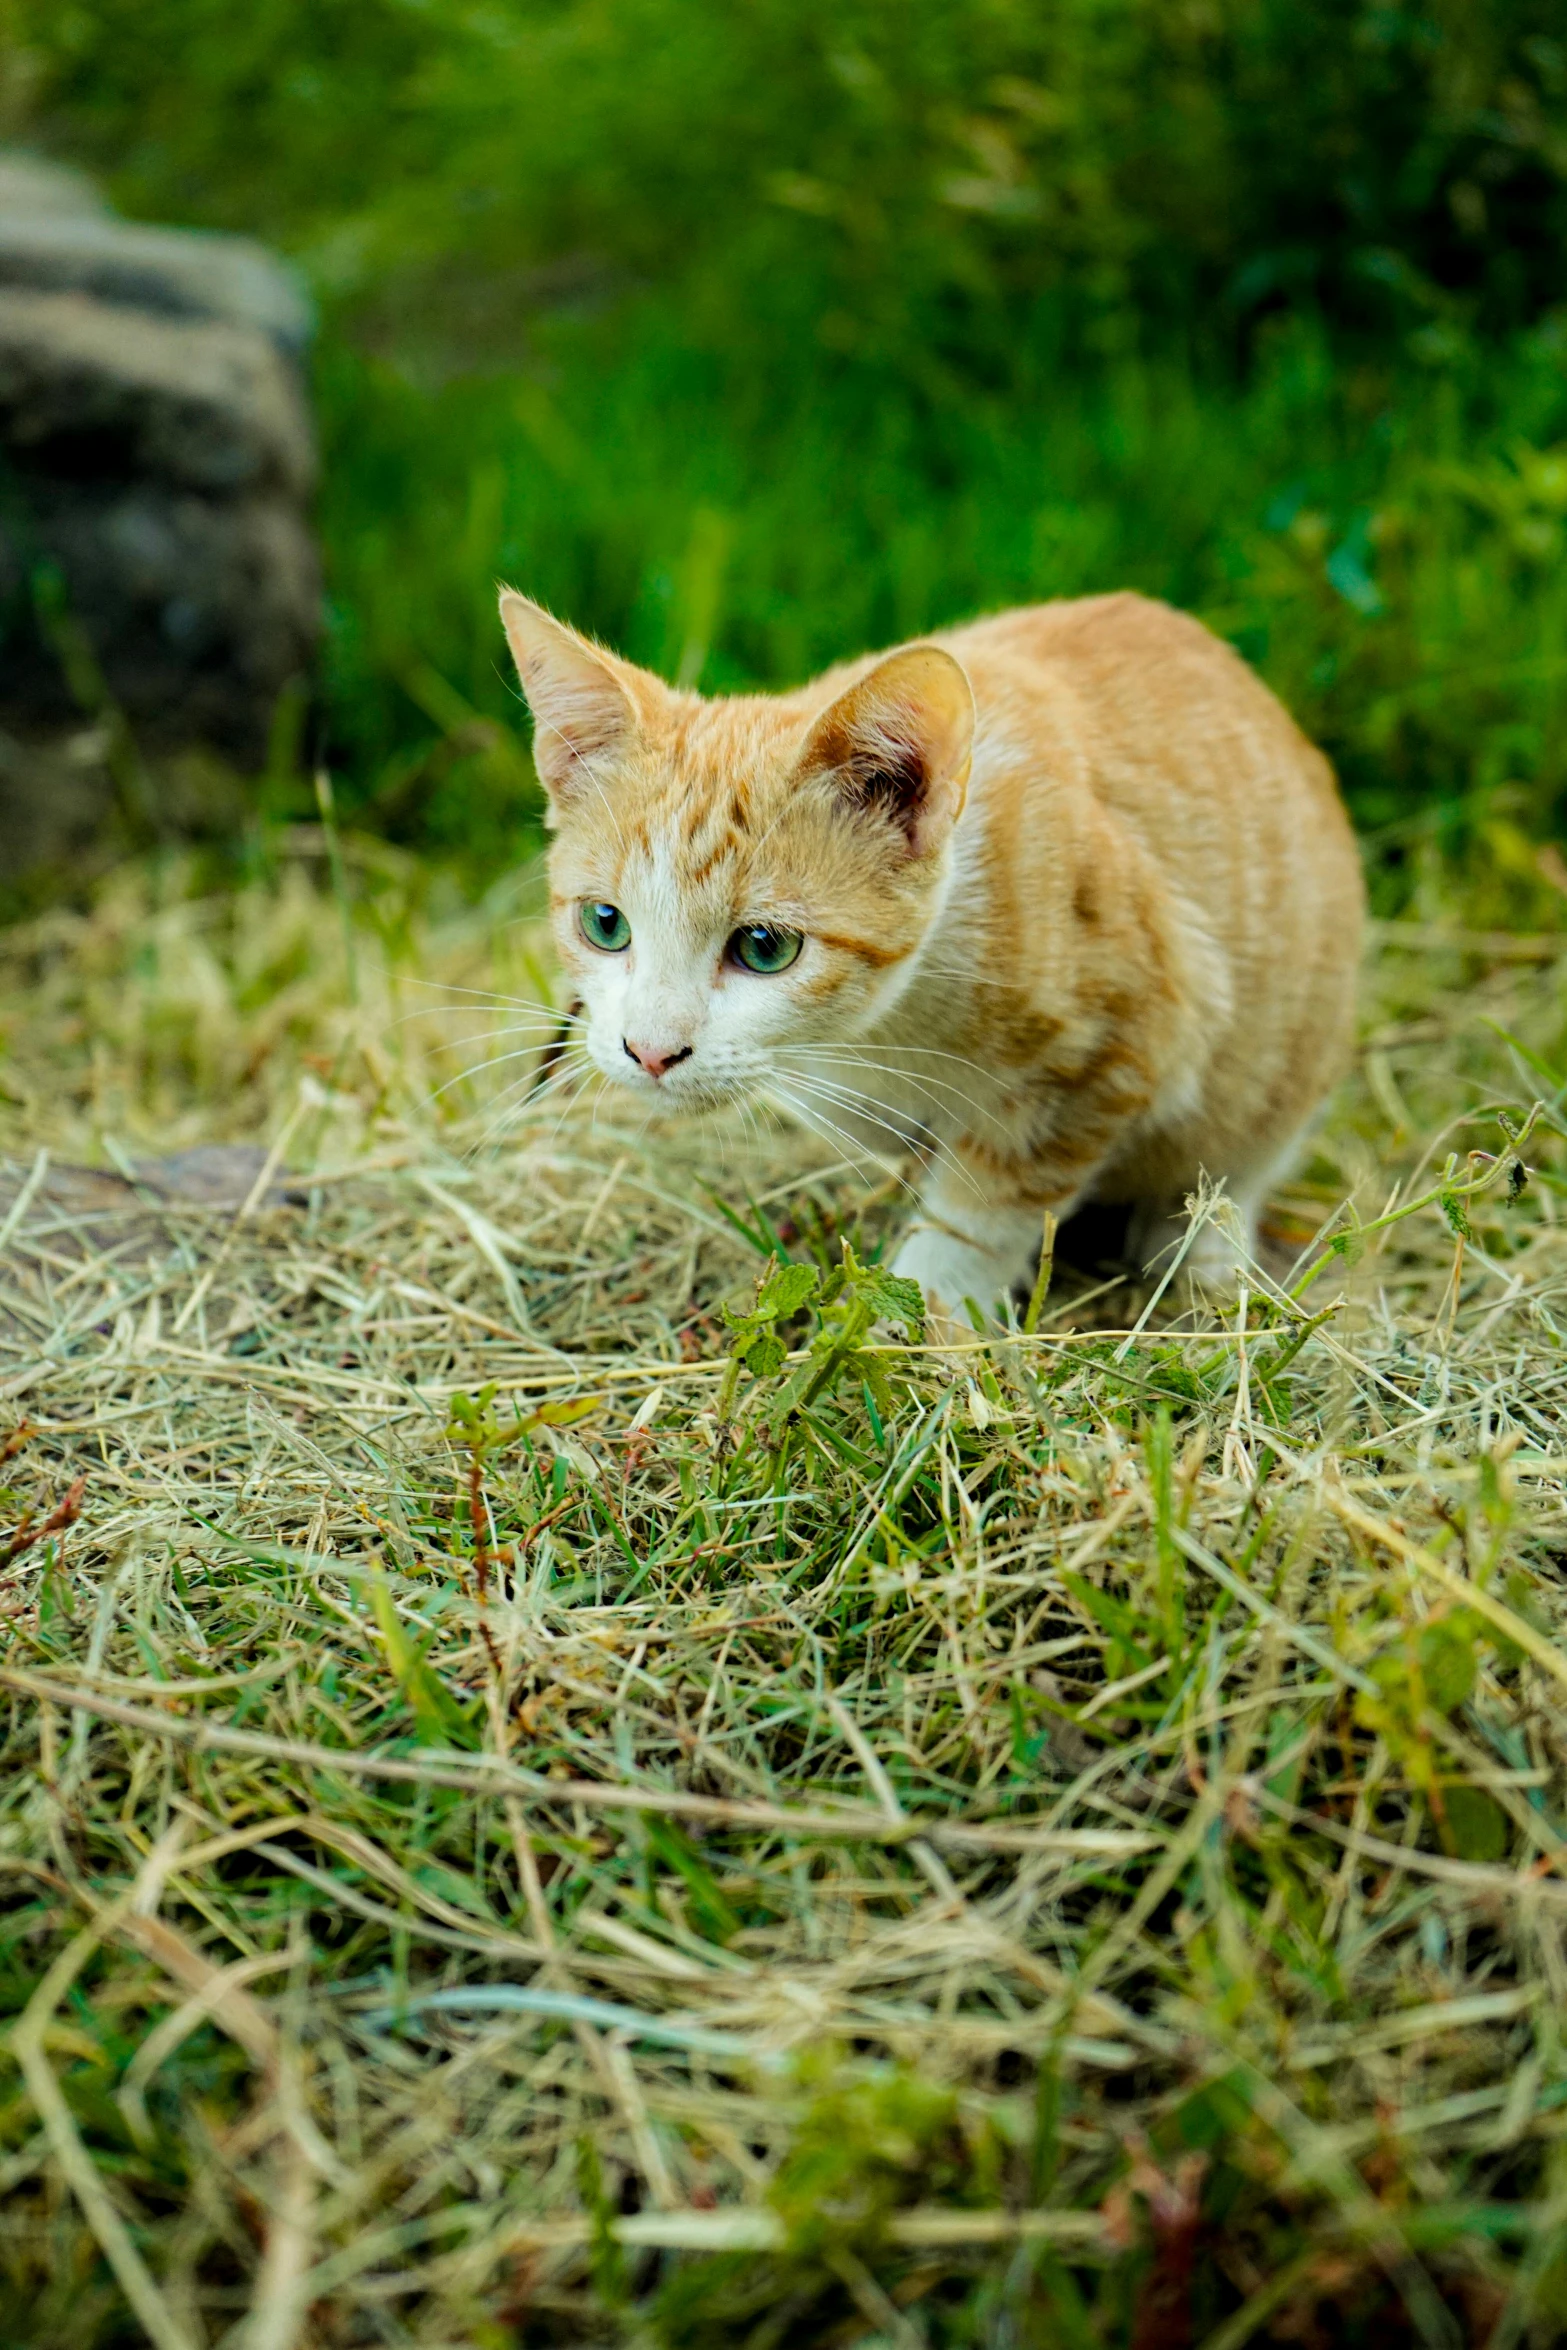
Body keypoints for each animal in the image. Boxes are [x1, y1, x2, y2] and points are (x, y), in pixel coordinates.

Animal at [500, 587, 1362, 1325]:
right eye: (605, 924)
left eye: (764, 947)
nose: (649, 1052)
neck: (878, 1027)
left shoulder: (1119, 1037)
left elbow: (993, 1198)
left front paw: (929, 1302)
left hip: (1289, 1045)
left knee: (1235, 1158)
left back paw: (1202, 1247)